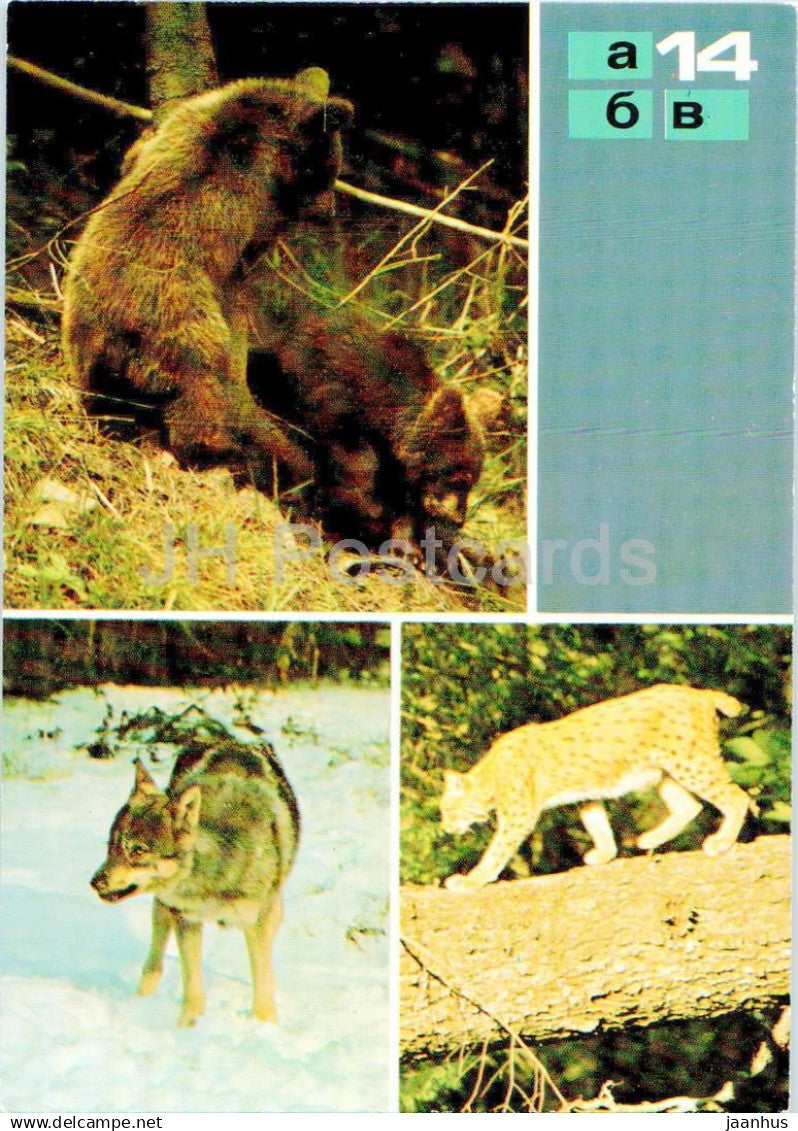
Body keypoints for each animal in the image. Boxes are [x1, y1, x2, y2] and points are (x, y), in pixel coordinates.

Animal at [61, 70, 353, 478]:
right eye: (328, 172)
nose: (328, 212)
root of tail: (119, 337)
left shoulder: (180, 126)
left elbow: (135, 156)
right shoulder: (255, 200)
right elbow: (247, 255)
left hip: (85, 328)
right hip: (186, 338)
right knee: (201, 392)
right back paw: (219, 452)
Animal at [91, 736, 300, 1026]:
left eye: (138, 850)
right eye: (111, 847)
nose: (94, 882)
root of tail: (230, 740)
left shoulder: (257, 923)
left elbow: (262, 985)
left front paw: (265, 1027)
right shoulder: (186, 921)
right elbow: (193, 991)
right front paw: (187, 1029)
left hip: (274, 911)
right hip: (163, 909)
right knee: (153, 963)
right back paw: (141, 1000)